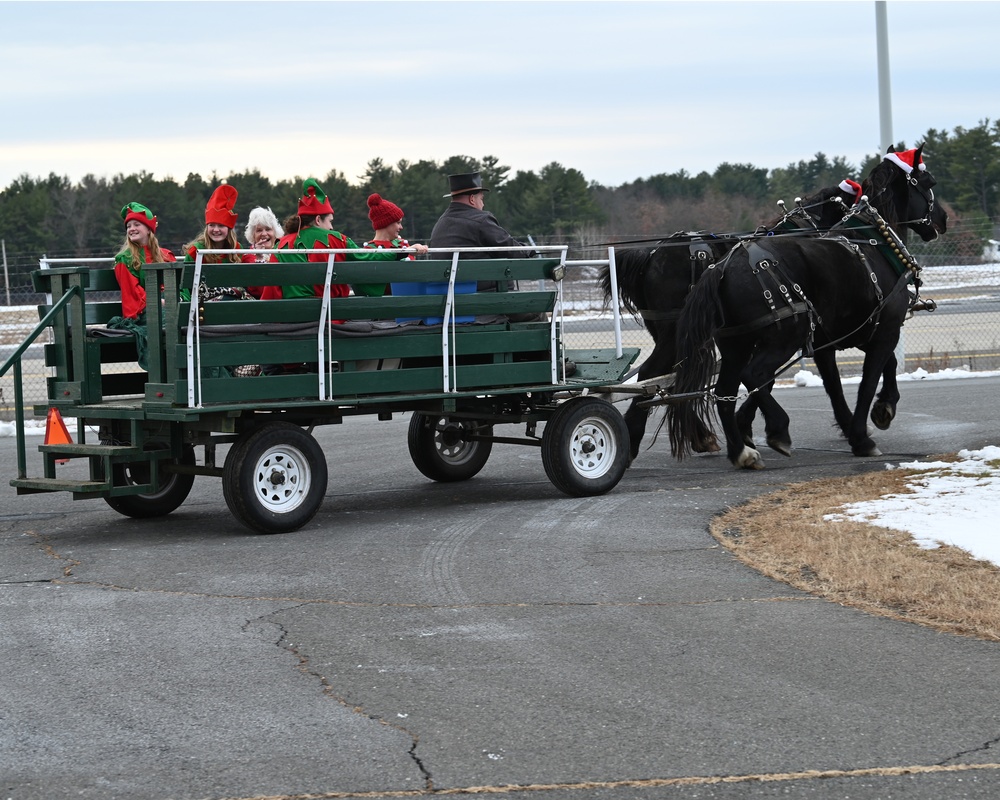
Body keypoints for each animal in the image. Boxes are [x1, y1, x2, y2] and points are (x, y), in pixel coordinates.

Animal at [668, 147, 948, 468]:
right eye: (928, 182)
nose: (943, 218)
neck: (874, 241)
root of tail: (722, 268)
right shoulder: (884, 329)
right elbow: (869, 380)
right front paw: (863, 435)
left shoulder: (842, 336)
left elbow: (842, 384)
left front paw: (877, 411)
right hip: (783, 338)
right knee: (754, 376)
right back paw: (778, 428)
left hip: (736, 343)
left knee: (725, 391)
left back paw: (741, 451)